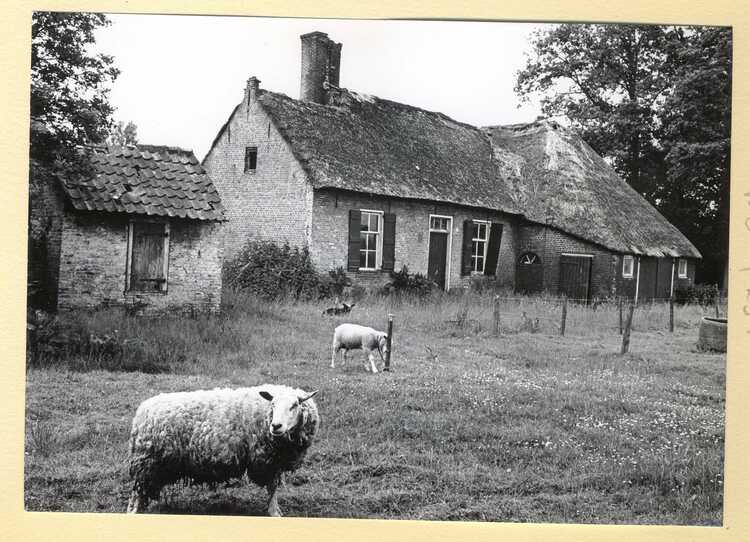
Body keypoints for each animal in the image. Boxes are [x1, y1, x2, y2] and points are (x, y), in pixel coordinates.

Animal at [126, 384, 320, 516]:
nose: (276, 426)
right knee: (137, 494)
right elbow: (272, 487)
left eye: (294, 405)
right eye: (272, 404)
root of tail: (142, 411)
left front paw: (274, 510)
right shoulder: (267, 460)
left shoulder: (275, 461)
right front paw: (274, 512)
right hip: (147, 462)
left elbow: (273, 488)